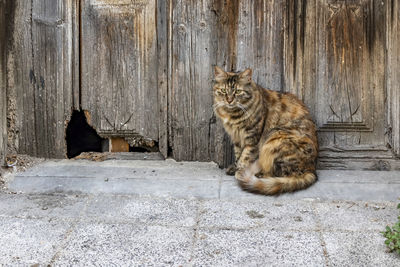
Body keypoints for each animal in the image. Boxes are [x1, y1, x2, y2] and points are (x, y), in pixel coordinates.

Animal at [212, 65, 318, 194]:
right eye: (223, 91)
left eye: (238, 91)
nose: (229, 100)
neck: (233, 114)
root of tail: (311, 170)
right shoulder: (236, 138)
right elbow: (238, 154)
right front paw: (234, 167)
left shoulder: (252, 137)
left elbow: (245, 156)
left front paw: (240, 171)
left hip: (274, 137)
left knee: (280, 173)